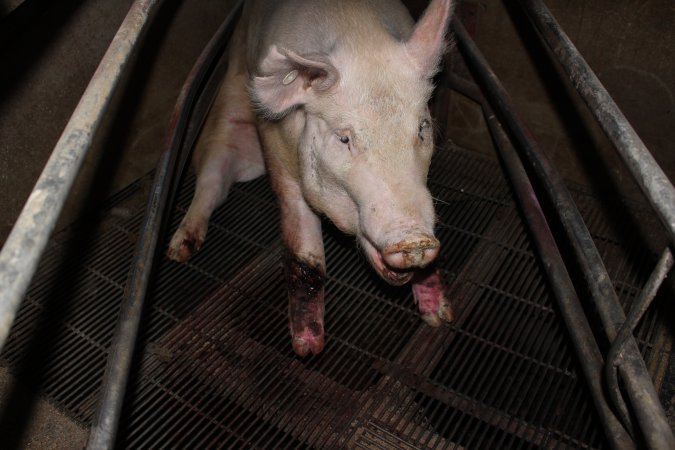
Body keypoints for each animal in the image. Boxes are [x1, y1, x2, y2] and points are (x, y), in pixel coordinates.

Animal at [168, 0, 454, 356]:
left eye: (422, 129)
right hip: (227, 114)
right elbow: (304, 253)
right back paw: (178, 250)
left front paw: (440, 318)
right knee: (211, 183)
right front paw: (307, 348)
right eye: (344, 138)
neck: (357, 34)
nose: (415, 239)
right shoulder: (278, 154)